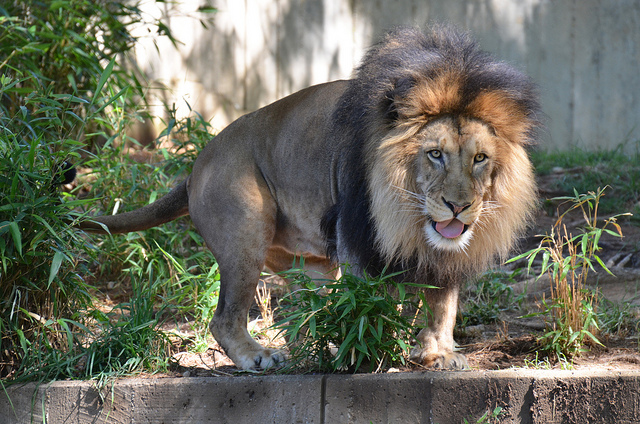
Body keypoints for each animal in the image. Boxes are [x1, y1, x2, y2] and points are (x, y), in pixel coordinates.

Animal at [81, 26, 540, 370]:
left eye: (480, 158)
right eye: (435, 154)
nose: (458, 207)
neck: (408, 215)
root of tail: (197, 164)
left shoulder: (441, 256)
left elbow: (444, 304)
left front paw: (438, 353)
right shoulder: (357, 237)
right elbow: (372, 303)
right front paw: (372, 350)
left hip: (311, 263)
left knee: (303, 313)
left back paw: (317, 349)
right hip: (246, 231)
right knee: (225, 318)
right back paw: (260, 358)